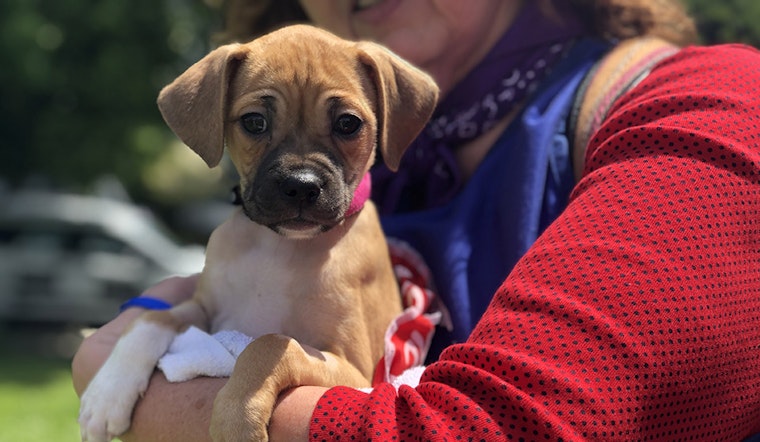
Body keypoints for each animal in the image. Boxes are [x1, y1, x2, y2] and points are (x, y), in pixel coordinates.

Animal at [78, 25, 440, 442]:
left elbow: (271, 343)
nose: (301, 186)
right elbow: (154, 319)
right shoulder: (208, 309)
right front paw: (107, 392)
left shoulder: (355, 370)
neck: (279, 246)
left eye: (348, 123)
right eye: (254, 122)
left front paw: (237, 418)